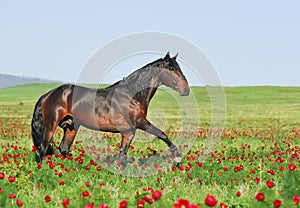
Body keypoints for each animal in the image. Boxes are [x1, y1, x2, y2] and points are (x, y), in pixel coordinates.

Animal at [31, 52, 190, 166]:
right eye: (171, 69)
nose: (186, 90)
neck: (132, 96)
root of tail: (48, 95)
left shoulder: (129, 132)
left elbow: (122, 156)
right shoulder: (140, 122)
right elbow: (162, 134)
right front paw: (177, 158)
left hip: (71, 127)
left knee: (63, 148)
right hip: (50, 125)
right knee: (44, 148)